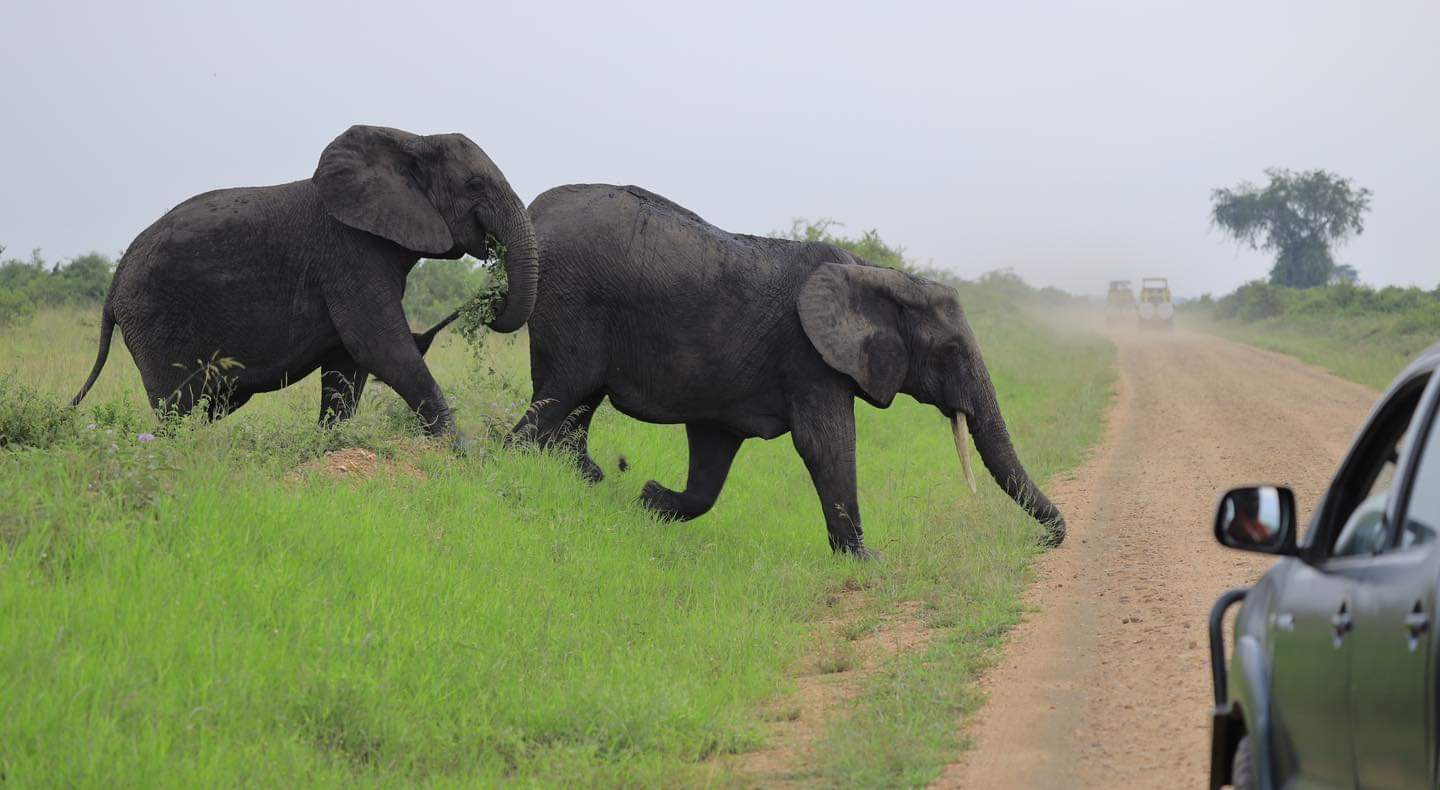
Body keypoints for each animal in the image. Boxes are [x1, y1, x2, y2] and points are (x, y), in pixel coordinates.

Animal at [69, 125, 538, 437]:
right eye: (474, 184)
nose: (491, 301)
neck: (412, 138)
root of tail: (114, 285)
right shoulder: (350, 253)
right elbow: (381, 348)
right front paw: (460, 453)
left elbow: (347, 364)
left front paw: (330, 443)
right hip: (154, 319)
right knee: (177, 405)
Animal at [513, 184, 1065, 556]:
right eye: (949, 351)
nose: (1043, 542)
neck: (874, 273)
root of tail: (535, 211)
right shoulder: (809, 357)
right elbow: (828, 443)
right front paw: (865, 560)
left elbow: (713, 456)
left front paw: (650, 500)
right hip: (573, 304)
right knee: (562, 395)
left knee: (577, 403)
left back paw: (584, 478)